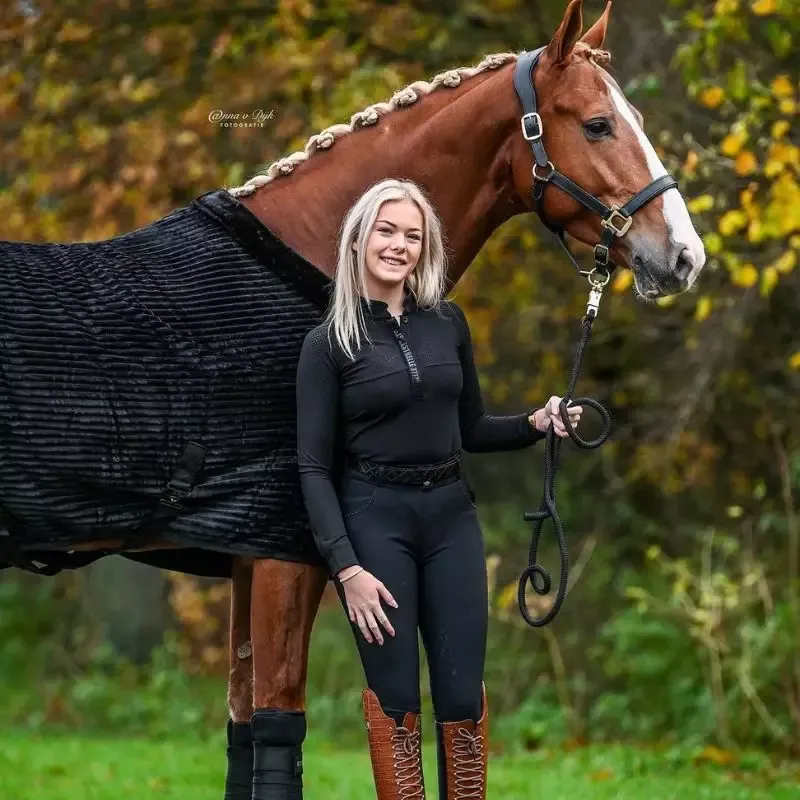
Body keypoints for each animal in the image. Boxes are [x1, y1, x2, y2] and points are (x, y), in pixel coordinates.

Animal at [0, 2, 706, 798]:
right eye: (596, 123)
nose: (684, 255)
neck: (317, 265)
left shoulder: (247, 556)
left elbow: (243, 731)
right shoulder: (285, 553)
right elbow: (279, 729)